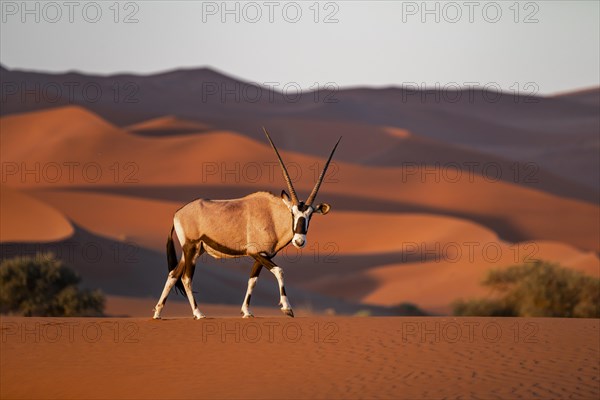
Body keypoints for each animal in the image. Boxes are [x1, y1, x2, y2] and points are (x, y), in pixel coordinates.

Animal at [154, 129, 342, 318]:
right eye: (292, 213)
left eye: (310, 215)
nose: (299, 241)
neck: (272, 216)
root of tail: (178, 212)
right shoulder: (254, 252)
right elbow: (279, 271)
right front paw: (287, 308)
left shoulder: (264, 255)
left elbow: (252, 280)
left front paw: (246, 311)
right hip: (191, 248)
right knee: (186, 278)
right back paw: (198, 313)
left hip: (195, 251)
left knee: (173, 274)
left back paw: (157, 313)